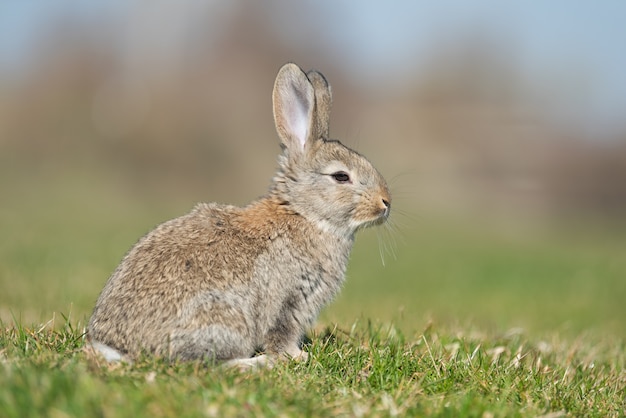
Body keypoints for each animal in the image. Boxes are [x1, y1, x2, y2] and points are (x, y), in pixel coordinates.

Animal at [88, 60, 390, 368]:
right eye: (341, 176)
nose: (385, 203)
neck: (303, 213)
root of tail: (115, 347)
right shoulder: (290, 301)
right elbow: (281, 334)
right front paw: (296, 356)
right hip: (222, 320)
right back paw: (256, 364)